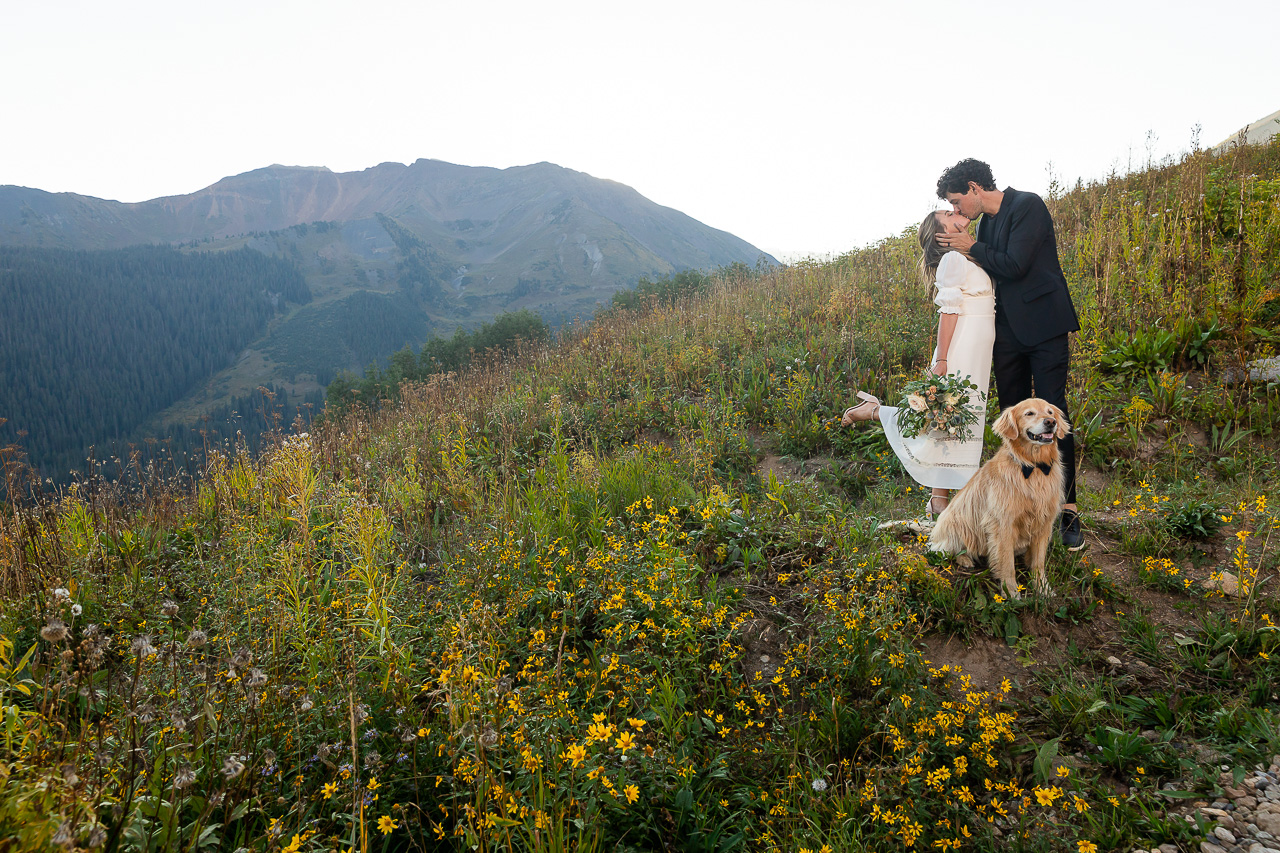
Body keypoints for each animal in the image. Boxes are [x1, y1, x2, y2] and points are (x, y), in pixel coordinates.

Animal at [931, 399, 1070, 596]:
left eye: (1050, 412)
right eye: (1029, 413)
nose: (1051, 422)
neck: (1033, 467)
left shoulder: (1044, 522)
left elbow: (1038, 562)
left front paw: (1042, 587)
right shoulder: (1003, 524)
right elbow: (1007, 563)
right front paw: (1010, 591)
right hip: (957, 522)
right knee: (947, 549)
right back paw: (965, 559)